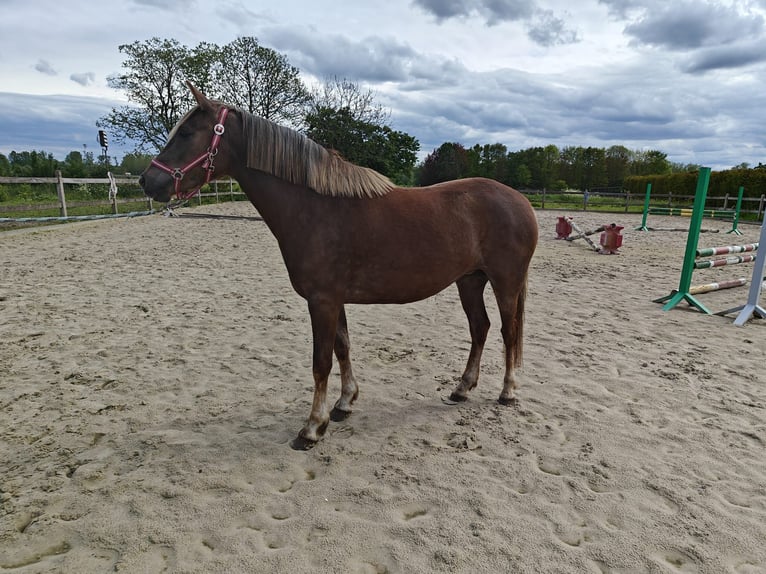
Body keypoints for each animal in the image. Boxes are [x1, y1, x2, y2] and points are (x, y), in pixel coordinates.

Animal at [144, 84, 540, 450]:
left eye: (186, 133)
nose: (149, 181)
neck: (317, 208)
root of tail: (520, 201)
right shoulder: (334, 301)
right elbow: (343, 347)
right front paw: (344, 403)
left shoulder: (323, 301)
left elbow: (321, 362)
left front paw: (311, 428)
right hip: (469, 281)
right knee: (480, 328)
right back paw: (461, 388)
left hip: (505, 282)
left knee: (507, 331)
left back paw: (508, 392)